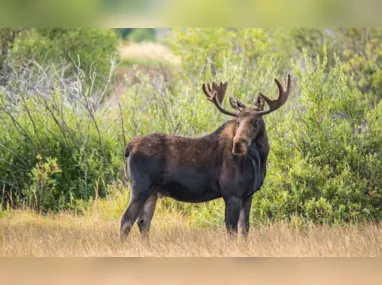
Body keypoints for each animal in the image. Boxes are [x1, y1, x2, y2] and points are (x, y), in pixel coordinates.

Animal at [120, 72, 292, 240]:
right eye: (237, 121)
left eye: (255, 121)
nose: (238, 144)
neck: (259, 160)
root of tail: (128, 147)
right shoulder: (232, 194)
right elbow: (231, 231)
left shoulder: (248, 195)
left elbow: (244, 230)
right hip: (140, 187)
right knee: (126, 220)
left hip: (153, 192)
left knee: (143, 222)